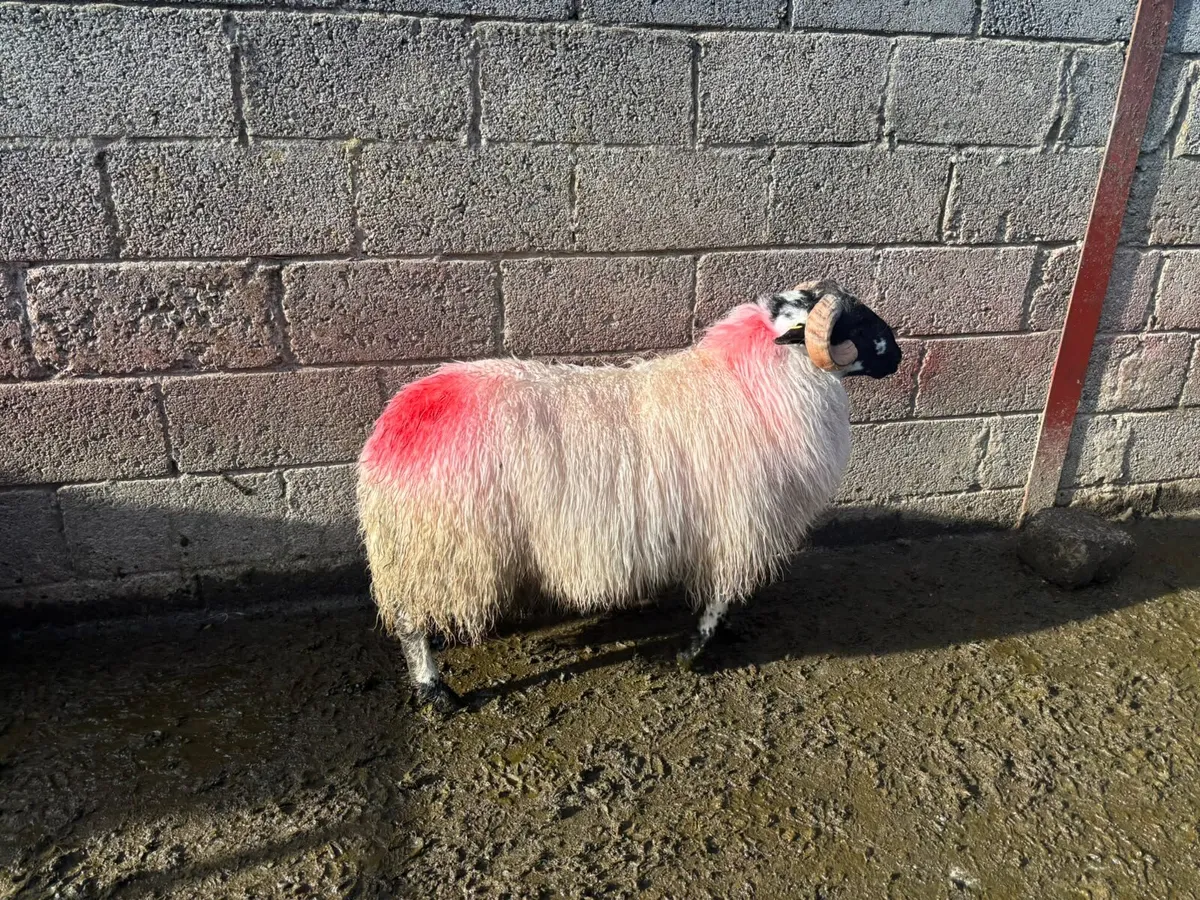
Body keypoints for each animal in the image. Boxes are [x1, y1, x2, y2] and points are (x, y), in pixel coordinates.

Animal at [357, 279, 902, 713]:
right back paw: (437, 692)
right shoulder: (735, 523)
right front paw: (693, 651)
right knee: (409, 624)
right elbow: (719, 597)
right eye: (851, 325)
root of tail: (395, 423)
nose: (896, 352)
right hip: (436, 545)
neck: (752, 382)